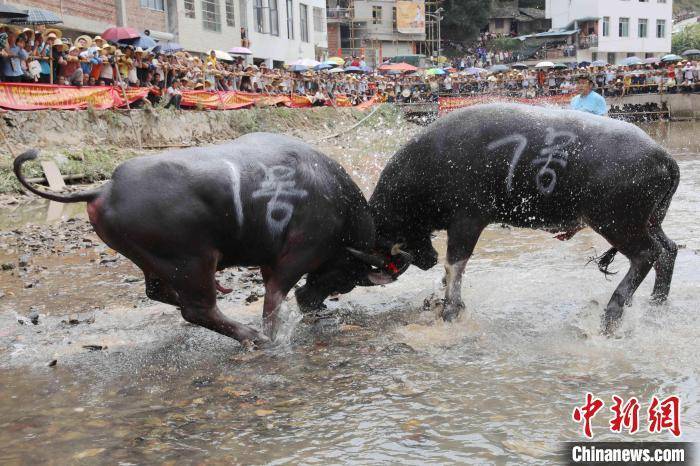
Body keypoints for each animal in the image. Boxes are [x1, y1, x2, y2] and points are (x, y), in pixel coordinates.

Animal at [15, 133, 404, 348]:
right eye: (348, 278)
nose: (313, 305)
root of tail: (103, 189)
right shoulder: (296, 255)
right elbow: (274, 297)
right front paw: (274, 333)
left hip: (157, 261)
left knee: (158, 292)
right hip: (191, 261)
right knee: (198, 309)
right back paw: (252, 337)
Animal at [366, 104, 680, 334]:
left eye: (386, 231)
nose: (425, 259)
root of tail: (664, 156)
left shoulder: (468, 219)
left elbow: (454, 263)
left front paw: (450, 310)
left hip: (616, 222)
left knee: (647, 254)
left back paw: (611, 315)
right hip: (649, 221)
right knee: (669, 250)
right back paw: (656, 306)